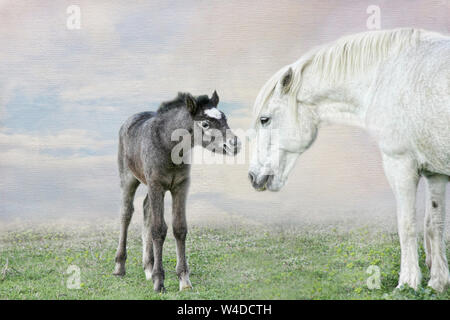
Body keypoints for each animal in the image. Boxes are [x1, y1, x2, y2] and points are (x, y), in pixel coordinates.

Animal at [113, 91, 239, 292]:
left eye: (225, 118)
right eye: (205, 124)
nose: (234, 144)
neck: (167, 146)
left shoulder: (180, 186)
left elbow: (179, 228)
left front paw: (184, 280)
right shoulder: (156, 185)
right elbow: (158, 230)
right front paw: (159, 282)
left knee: (146, 209)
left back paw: (148, 267)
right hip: (128, 178)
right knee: (126, 214)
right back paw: (119, 266)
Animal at [250, 28, 450, 292]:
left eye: (264, 119)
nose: (253, 176)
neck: (387, 76)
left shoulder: (400, 165)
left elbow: (407, 226)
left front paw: (407, 283)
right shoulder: (436, 173)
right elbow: (434, 225)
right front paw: (437, 282)